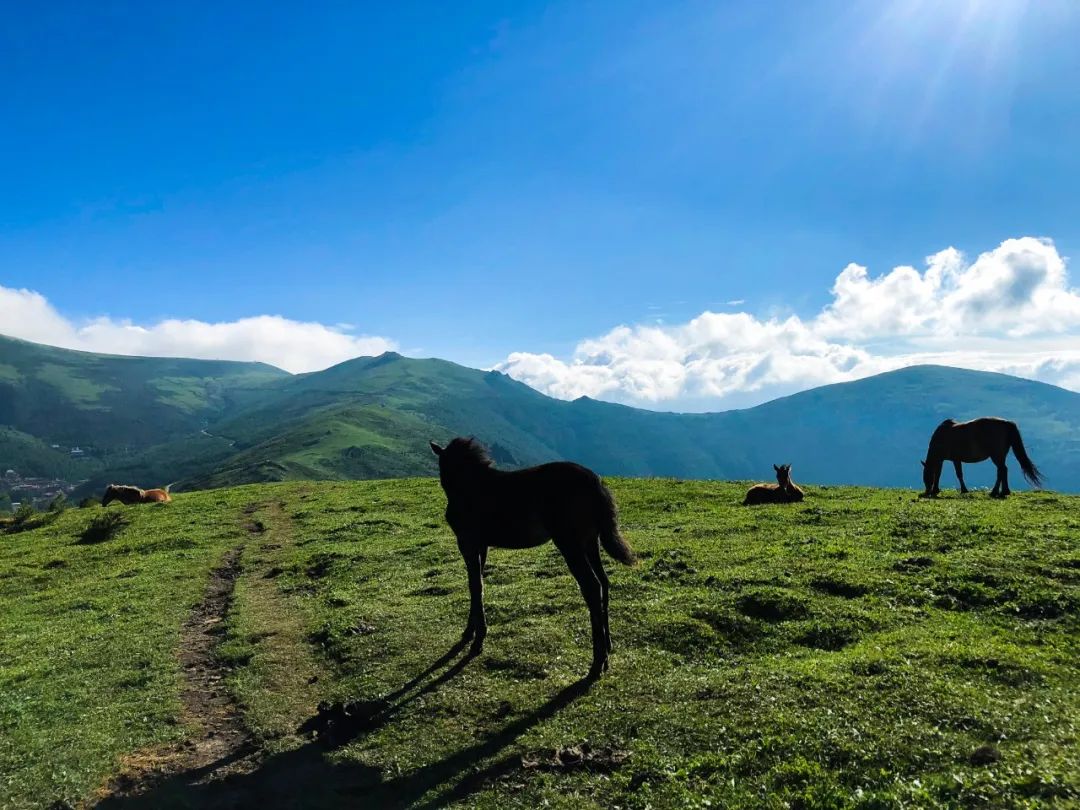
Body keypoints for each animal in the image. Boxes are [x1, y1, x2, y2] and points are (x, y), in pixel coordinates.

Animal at [427, 438, 635, 678]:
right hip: (590, 542)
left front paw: (477, 640)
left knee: (592, 586)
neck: (468, 485)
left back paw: (597, 662)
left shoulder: (467, 542)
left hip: (570, 543)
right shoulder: (481, 545)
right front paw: (469, 632)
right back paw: (608, 647)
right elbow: (477, 583)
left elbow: (475, 585)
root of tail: (596, 483)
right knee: (604, 581)